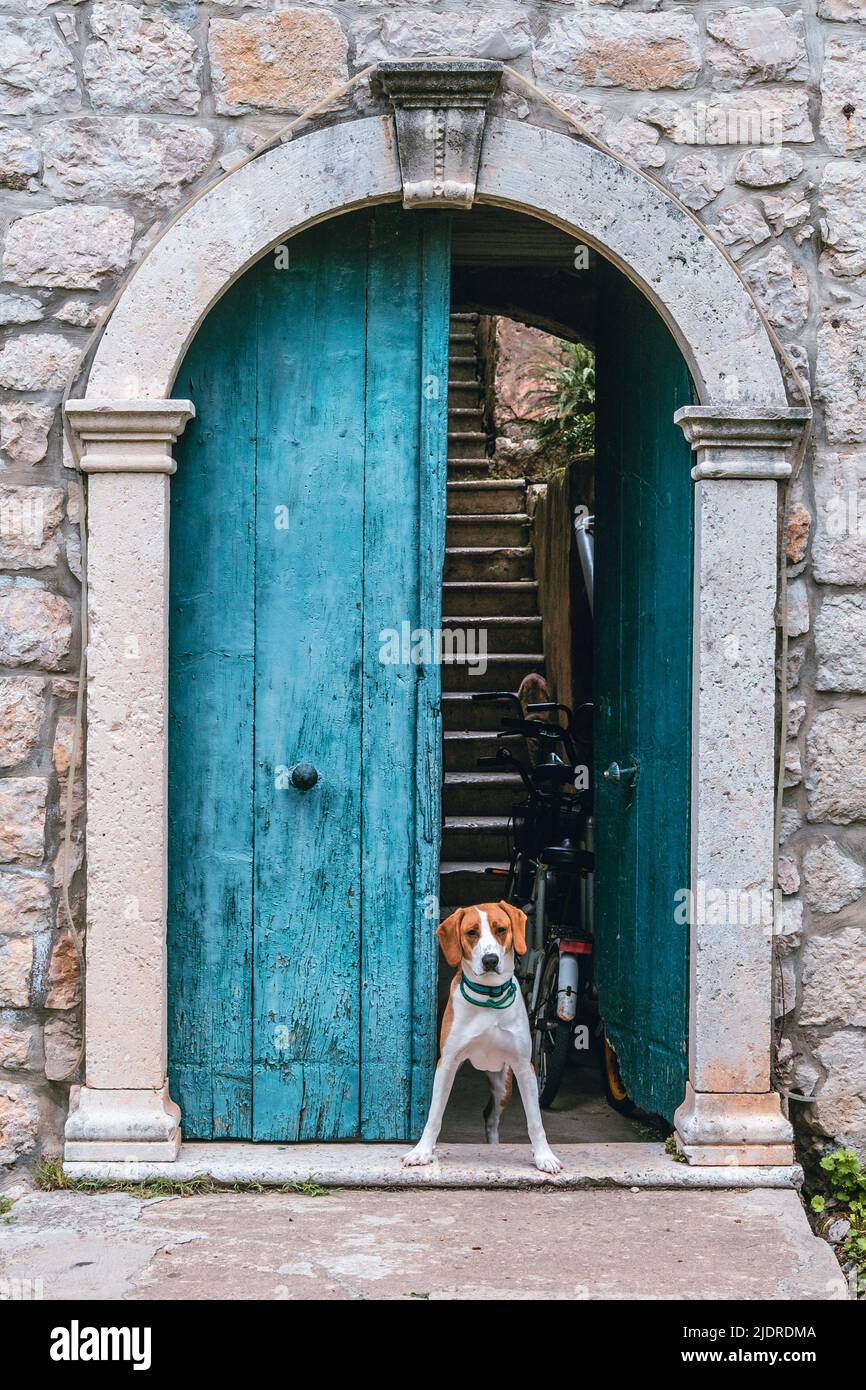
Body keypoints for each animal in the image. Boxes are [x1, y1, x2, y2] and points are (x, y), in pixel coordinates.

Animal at [403, 900, 567, 1173]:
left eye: (500, 929)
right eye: (471, 933)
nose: (490, 960)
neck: (489, 996)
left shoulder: (525, 1067)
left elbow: (535, 1120)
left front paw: (545, 1156)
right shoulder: (446, 1064)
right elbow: (434, 1116)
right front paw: (422, 1151)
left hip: (503, 1085)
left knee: (491, 1118)